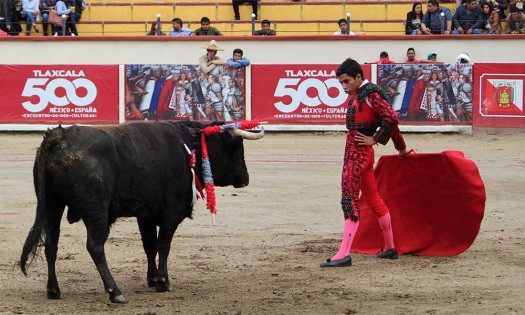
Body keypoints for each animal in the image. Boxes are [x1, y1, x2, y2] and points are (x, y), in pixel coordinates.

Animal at [18, 121, 264, 304]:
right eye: (237, 147)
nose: (245, 179)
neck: (188, 146)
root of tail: (58, 136)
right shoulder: (170, 212)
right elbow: (163, 245)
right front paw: (163, 282)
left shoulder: (145, 215)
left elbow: (149, 246)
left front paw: (152, 278)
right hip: (96, 211)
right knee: (95, 247)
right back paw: (115, 291)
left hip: (52, 205)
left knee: (51, 244)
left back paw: (53, 290)